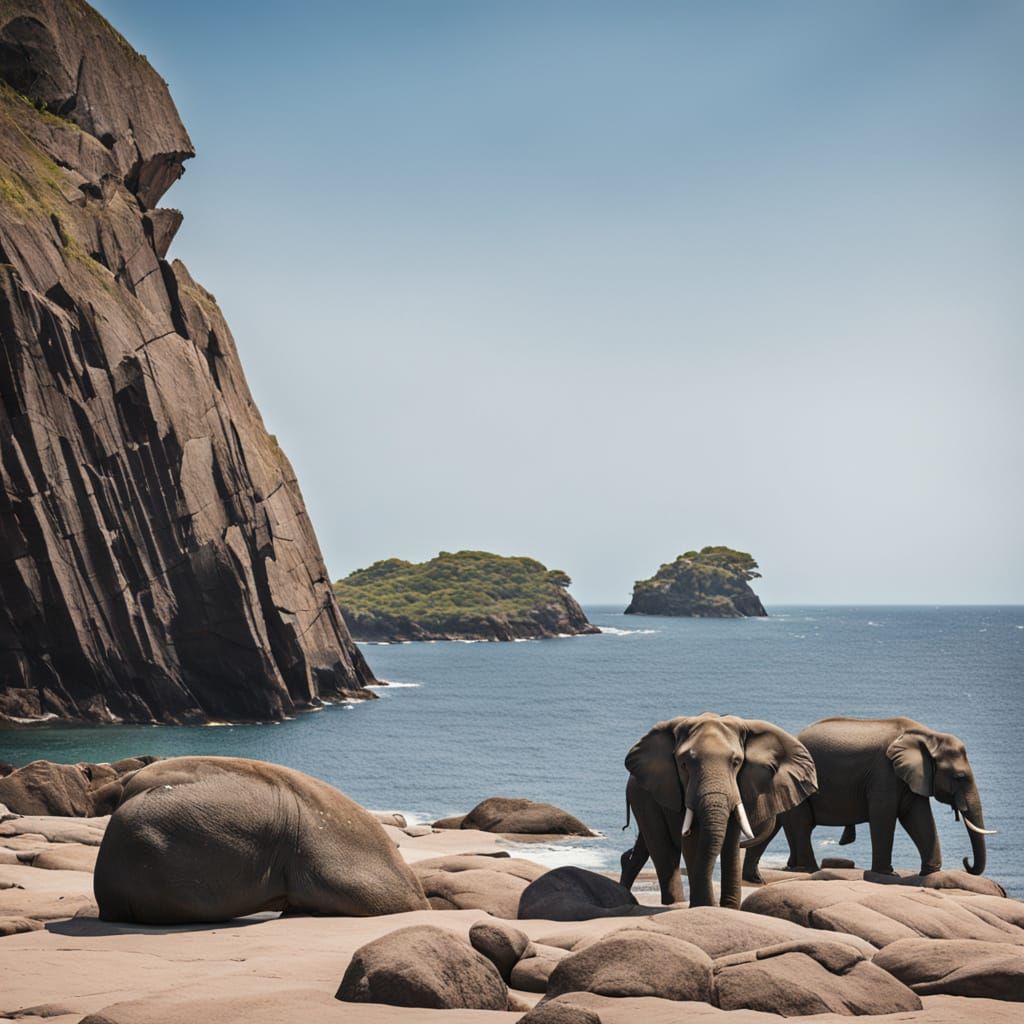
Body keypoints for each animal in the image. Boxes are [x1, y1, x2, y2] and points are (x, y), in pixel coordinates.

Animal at [618, 712, 818, 908]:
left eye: (736, 762)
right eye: (683, 764)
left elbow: (731, 839)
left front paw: (728, 908)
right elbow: (691, 840)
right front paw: (705, 906)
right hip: (642, 798)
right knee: (663, 850)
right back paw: (674, 902)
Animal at [742, 716, 995, 884]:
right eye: (959, 777)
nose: (966, 862)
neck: (928, 735)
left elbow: (917, 816)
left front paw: (930, 873)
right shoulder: (885, 773)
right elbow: (884, 814)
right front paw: (887, 874)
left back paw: (775, 873)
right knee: (801, 825)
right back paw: (807, 870)